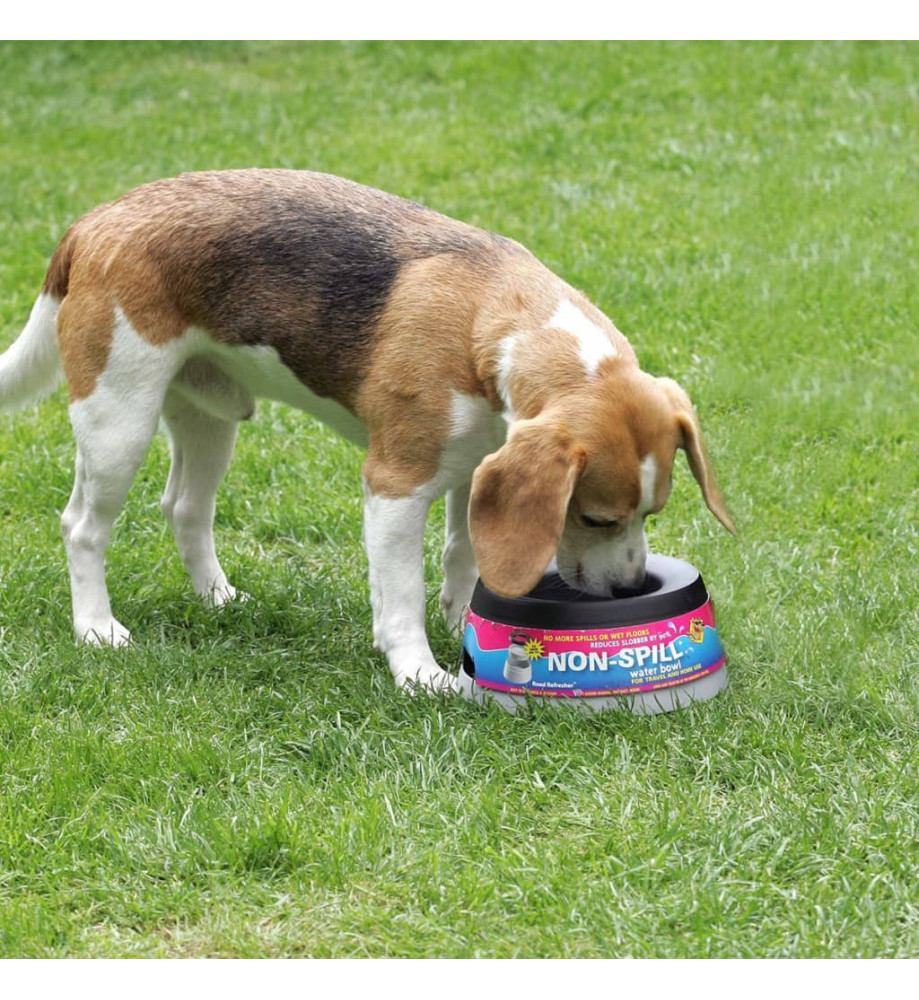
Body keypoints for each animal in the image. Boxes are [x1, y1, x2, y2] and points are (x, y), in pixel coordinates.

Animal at [0, 170, 732, 688]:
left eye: (653, 513)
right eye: (595, 518)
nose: (631, 592)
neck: (495, 327)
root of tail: (94, 221)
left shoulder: (477, 470)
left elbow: (464, 555)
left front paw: (462, 623)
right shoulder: (395, 487)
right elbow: (400, 592)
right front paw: (418, 672)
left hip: (210, 418)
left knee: (184, 507)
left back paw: (218, 598)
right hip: (117, 421)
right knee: (82, 526)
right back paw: (97, 628)